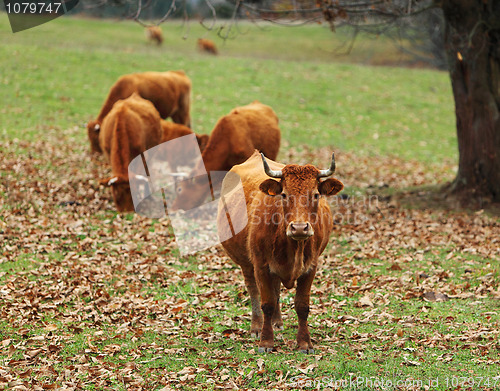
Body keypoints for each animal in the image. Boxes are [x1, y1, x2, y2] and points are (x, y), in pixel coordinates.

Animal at [218, 152, 344, 354]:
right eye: (284, 195)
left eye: (316, 195)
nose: (299, 228)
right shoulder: (261, 266)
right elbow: (266, 303)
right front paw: (266, 342)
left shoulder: (311, 268)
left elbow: (302, 305)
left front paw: (304, 343)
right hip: (247, 264)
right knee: (253, 291)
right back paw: (256, 326)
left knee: (276, 288)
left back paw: (277, 323)